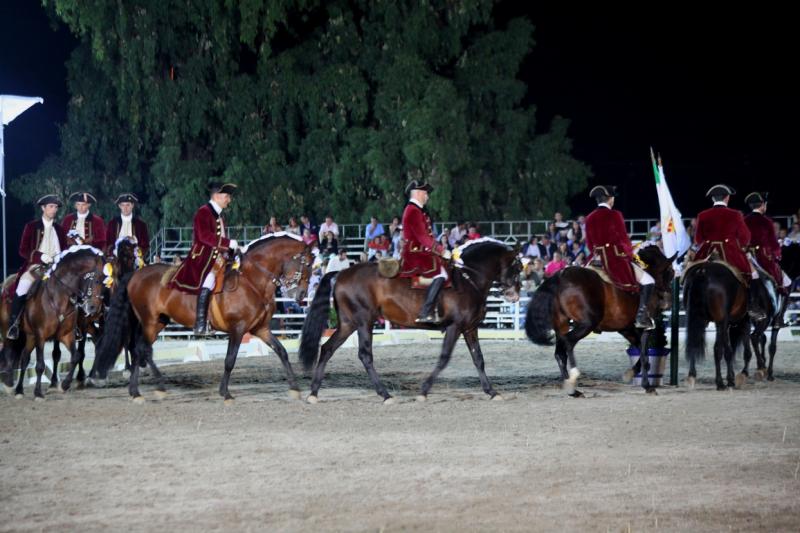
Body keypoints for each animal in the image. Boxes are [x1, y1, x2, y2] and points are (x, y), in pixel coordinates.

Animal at [0, 247, 106, 396]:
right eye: (96, 280)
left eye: (104, 281)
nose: (93, 308)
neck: (58, 296)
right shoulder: (41, 335)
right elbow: (40, 365)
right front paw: (39, 392)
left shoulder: (66, 334)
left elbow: (75, 356)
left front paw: (65, 384)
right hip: (9, 331)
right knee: (9, 352)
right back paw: (9, 384)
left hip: (30, 335)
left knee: (24, 358)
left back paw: (19, 390)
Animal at [90, 234, 310, 404]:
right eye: (305, 263)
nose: (300, 295)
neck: (252, 280)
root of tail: (136, 274)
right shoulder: (237, 329)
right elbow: (230, 360)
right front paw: (225, 393)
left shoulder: (261, 329)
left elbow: (282, 352)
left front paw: (295, 388)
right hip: (150, 322)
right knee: (142, 349)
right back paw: (152, 388)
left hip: (158, 321)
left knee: (140, 350)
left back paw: (141, 390)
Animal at [296, 239, 520, 402]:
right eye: (516, 267)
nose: (515, 295)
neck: (468, 280)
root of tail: (342, 273)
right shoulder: (455, 327)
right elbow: (444, 358)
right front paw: (423, 391)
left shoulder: (470, 328)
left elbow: (478, 359)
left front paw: (492, 392)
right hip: (363, 321)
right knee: (365, 355)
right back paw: (385, 394)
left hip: (348, 324)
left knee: (327, 349)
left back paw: (314, 393)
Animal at [524, 245, 676, 394]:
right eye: (670, 273)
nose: (668, 302)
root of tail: (561, 276)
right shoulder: (644, 327)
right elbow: (645, 354)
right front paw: (647, 386)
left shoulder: (626, 329)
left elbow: (642, 353)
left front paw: (631, 374)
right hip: (587, 324)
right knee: (569, 342)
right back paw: (573, 379)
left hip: (562, 325)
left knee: (560, 353)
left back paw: (572, 390)